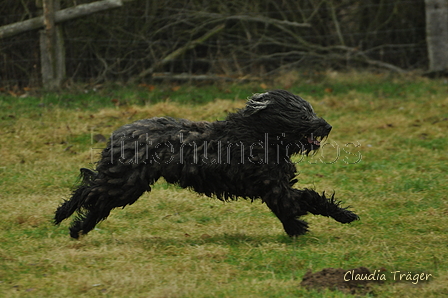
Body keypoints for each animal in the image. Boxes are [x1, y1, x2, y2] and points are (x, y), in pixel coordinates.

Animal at [54, 89, 358, 239]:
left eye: (311, 110)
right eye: (304, 114)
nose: (327, 126)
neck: (255, 134)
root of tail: (120, 133)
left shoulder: (275, 187)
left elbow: (295, 205)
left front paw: (305, 226)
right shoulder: (274, 186)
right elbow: (303, 201)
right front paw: (339, 217)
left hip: (126, 185)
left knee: (97, 202)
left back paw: (77, 229)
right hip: (125, 183)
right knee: (87, 191)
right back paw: (61, 215)